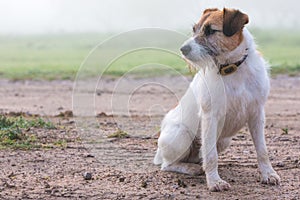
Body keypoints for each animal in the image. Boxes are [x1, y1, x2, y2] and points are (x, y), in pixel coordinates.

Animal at [154, 8, 280, 192]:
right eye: (194, 29)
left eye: (210, 31)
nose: (183, 49)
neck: (232, 69)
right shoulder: (210, 117)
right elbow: (211, 155)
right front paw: (214, 181)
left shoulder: (257, 114)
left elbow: (262, 150)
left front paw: (268, 174)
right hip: (181, 135)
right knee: (168, 164)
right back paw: (191, 168)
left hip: (224, 141)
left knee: (200, 155)